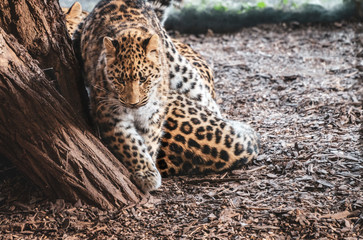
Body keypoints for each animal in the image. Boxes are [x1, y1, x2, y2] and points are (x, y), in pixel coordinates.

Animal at [74, 0, 262, 191]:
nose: (133, 104)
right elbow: (129, 144)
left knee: (204, 95)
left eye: (143, 78)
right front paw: (146, 171)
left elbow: (149, 141)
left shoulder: (153, 114)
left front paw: (149, 165)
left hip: (179, 68)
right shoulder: (109, 116)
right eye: (119, 79)